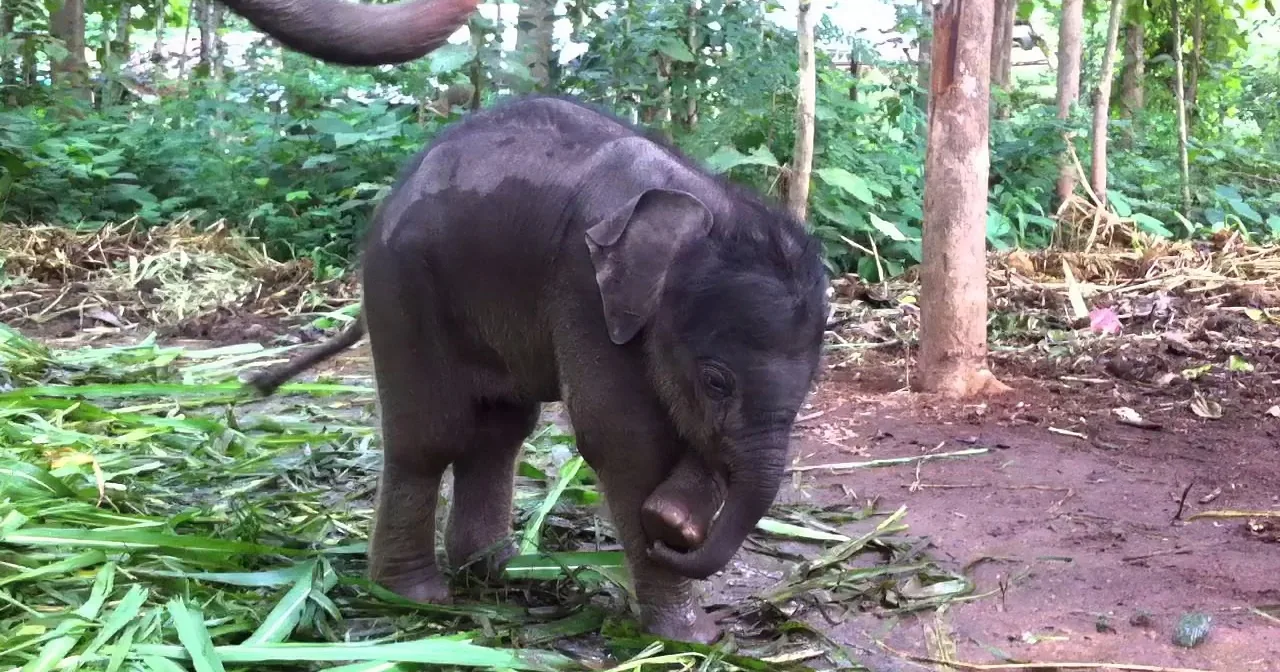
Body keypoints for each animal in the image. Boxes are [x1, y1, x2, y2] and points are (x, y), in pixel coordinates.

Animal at [220, 0, 829, 644]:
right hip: (404, 285)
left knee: (500, 429)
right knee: (428, 437)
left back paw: (499, 571)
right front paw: (687, 635)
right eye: (716, 381)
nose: (675, 536)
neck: (703, 204)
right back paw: (417, 594)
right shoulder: (583, 288)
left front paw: (672, 523)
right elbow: (625, 440)